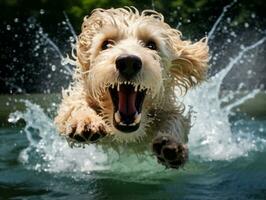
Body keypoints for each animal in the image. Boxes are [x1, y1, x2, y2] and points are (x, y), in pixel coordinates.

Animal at [53, 6, 208, 169]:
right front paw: (85, 120)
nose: (128, 62)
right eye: (106, 44)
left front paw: (171, 144)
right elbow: (74, 103)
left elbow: (175, 117)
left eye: (151, 45)